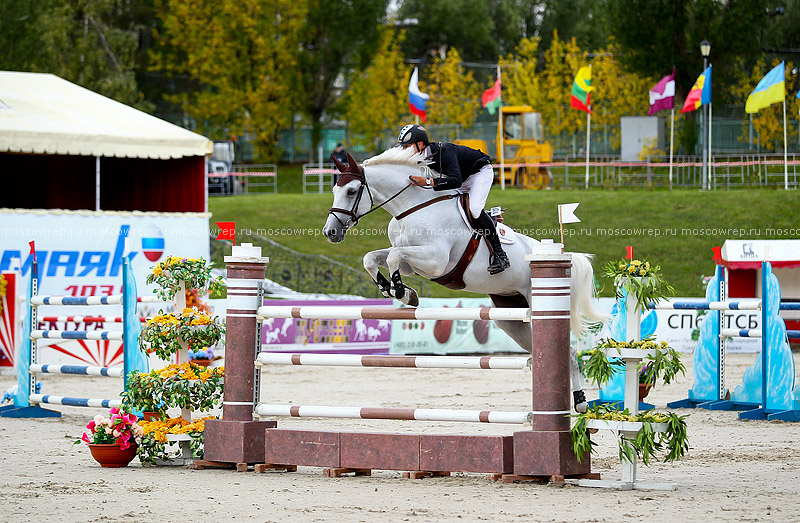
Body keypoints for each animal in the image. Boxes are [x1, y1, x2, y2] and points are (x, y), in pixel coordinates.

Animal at [320, 149, 608, 412]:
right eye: (335, 189)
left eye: (351, 191)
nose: (330, 232)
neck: (412, 208)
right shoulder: (414, 265)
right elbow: (372, 258)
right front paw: (392, 288)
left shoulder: (435, 260)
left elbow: (392, 256)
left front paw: (401, 291)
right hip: (510, 316)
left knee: (569, 352)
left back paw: (580, 401)